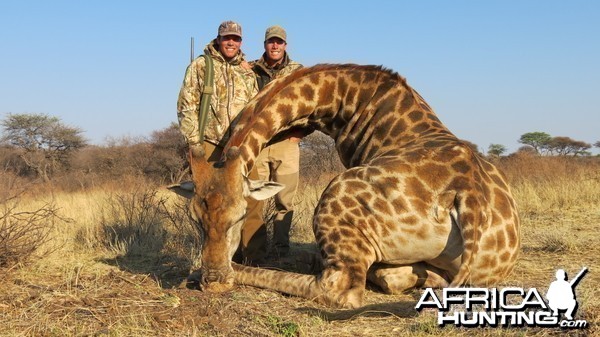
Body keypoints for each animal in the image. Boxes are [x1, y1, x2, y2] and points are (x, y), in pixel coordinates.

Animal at [170, 64, 520, 308]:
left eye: (240, 217)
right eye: (196, 220)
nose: (214, 281)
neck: (348, 97)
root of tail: (469, 198)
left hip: (332, 197)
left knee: (338, 289)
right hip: (482, 272)